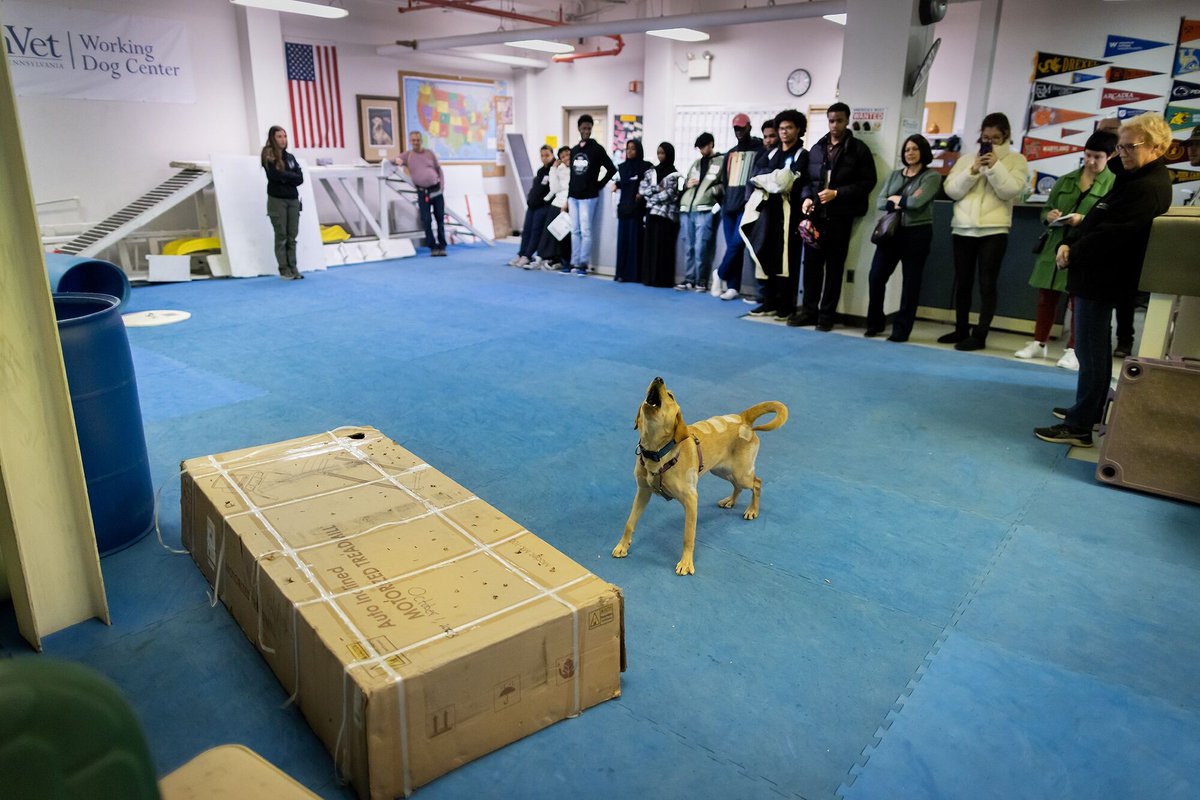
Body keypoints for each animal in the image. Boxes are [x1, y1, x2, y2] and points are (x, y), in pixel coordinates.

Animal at [614, 376, 792, 575]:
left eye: (671, 396)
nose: (658, 378)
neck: (658, 453)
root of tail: (742, 417)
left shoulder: (691, 499)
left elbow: (688, 536)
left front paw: (686, 562)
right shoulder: (643, 491)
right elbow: (630, 523)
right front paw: (622, 546)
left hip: (741, 473)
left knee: (757, 483)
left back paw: (752, 510)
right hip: (721, 470)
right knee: (737, 486)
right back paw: (730, 501)